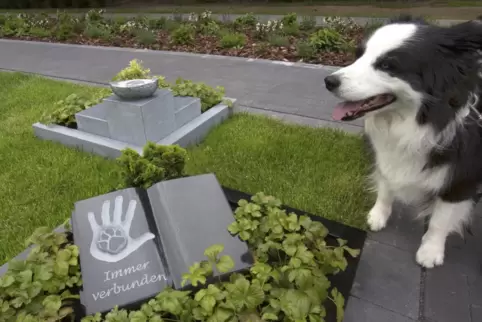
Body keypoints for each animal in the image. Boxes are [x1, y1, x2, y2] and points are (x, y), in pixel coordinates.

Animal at [324, 15, 482, 268]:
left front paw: (430, 251)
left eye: (388, 65)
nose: (329, 81)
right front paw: (378, 215)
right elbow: (386, 184)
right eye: (359, 54)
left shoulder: (463, 176)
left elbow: (441, 219)